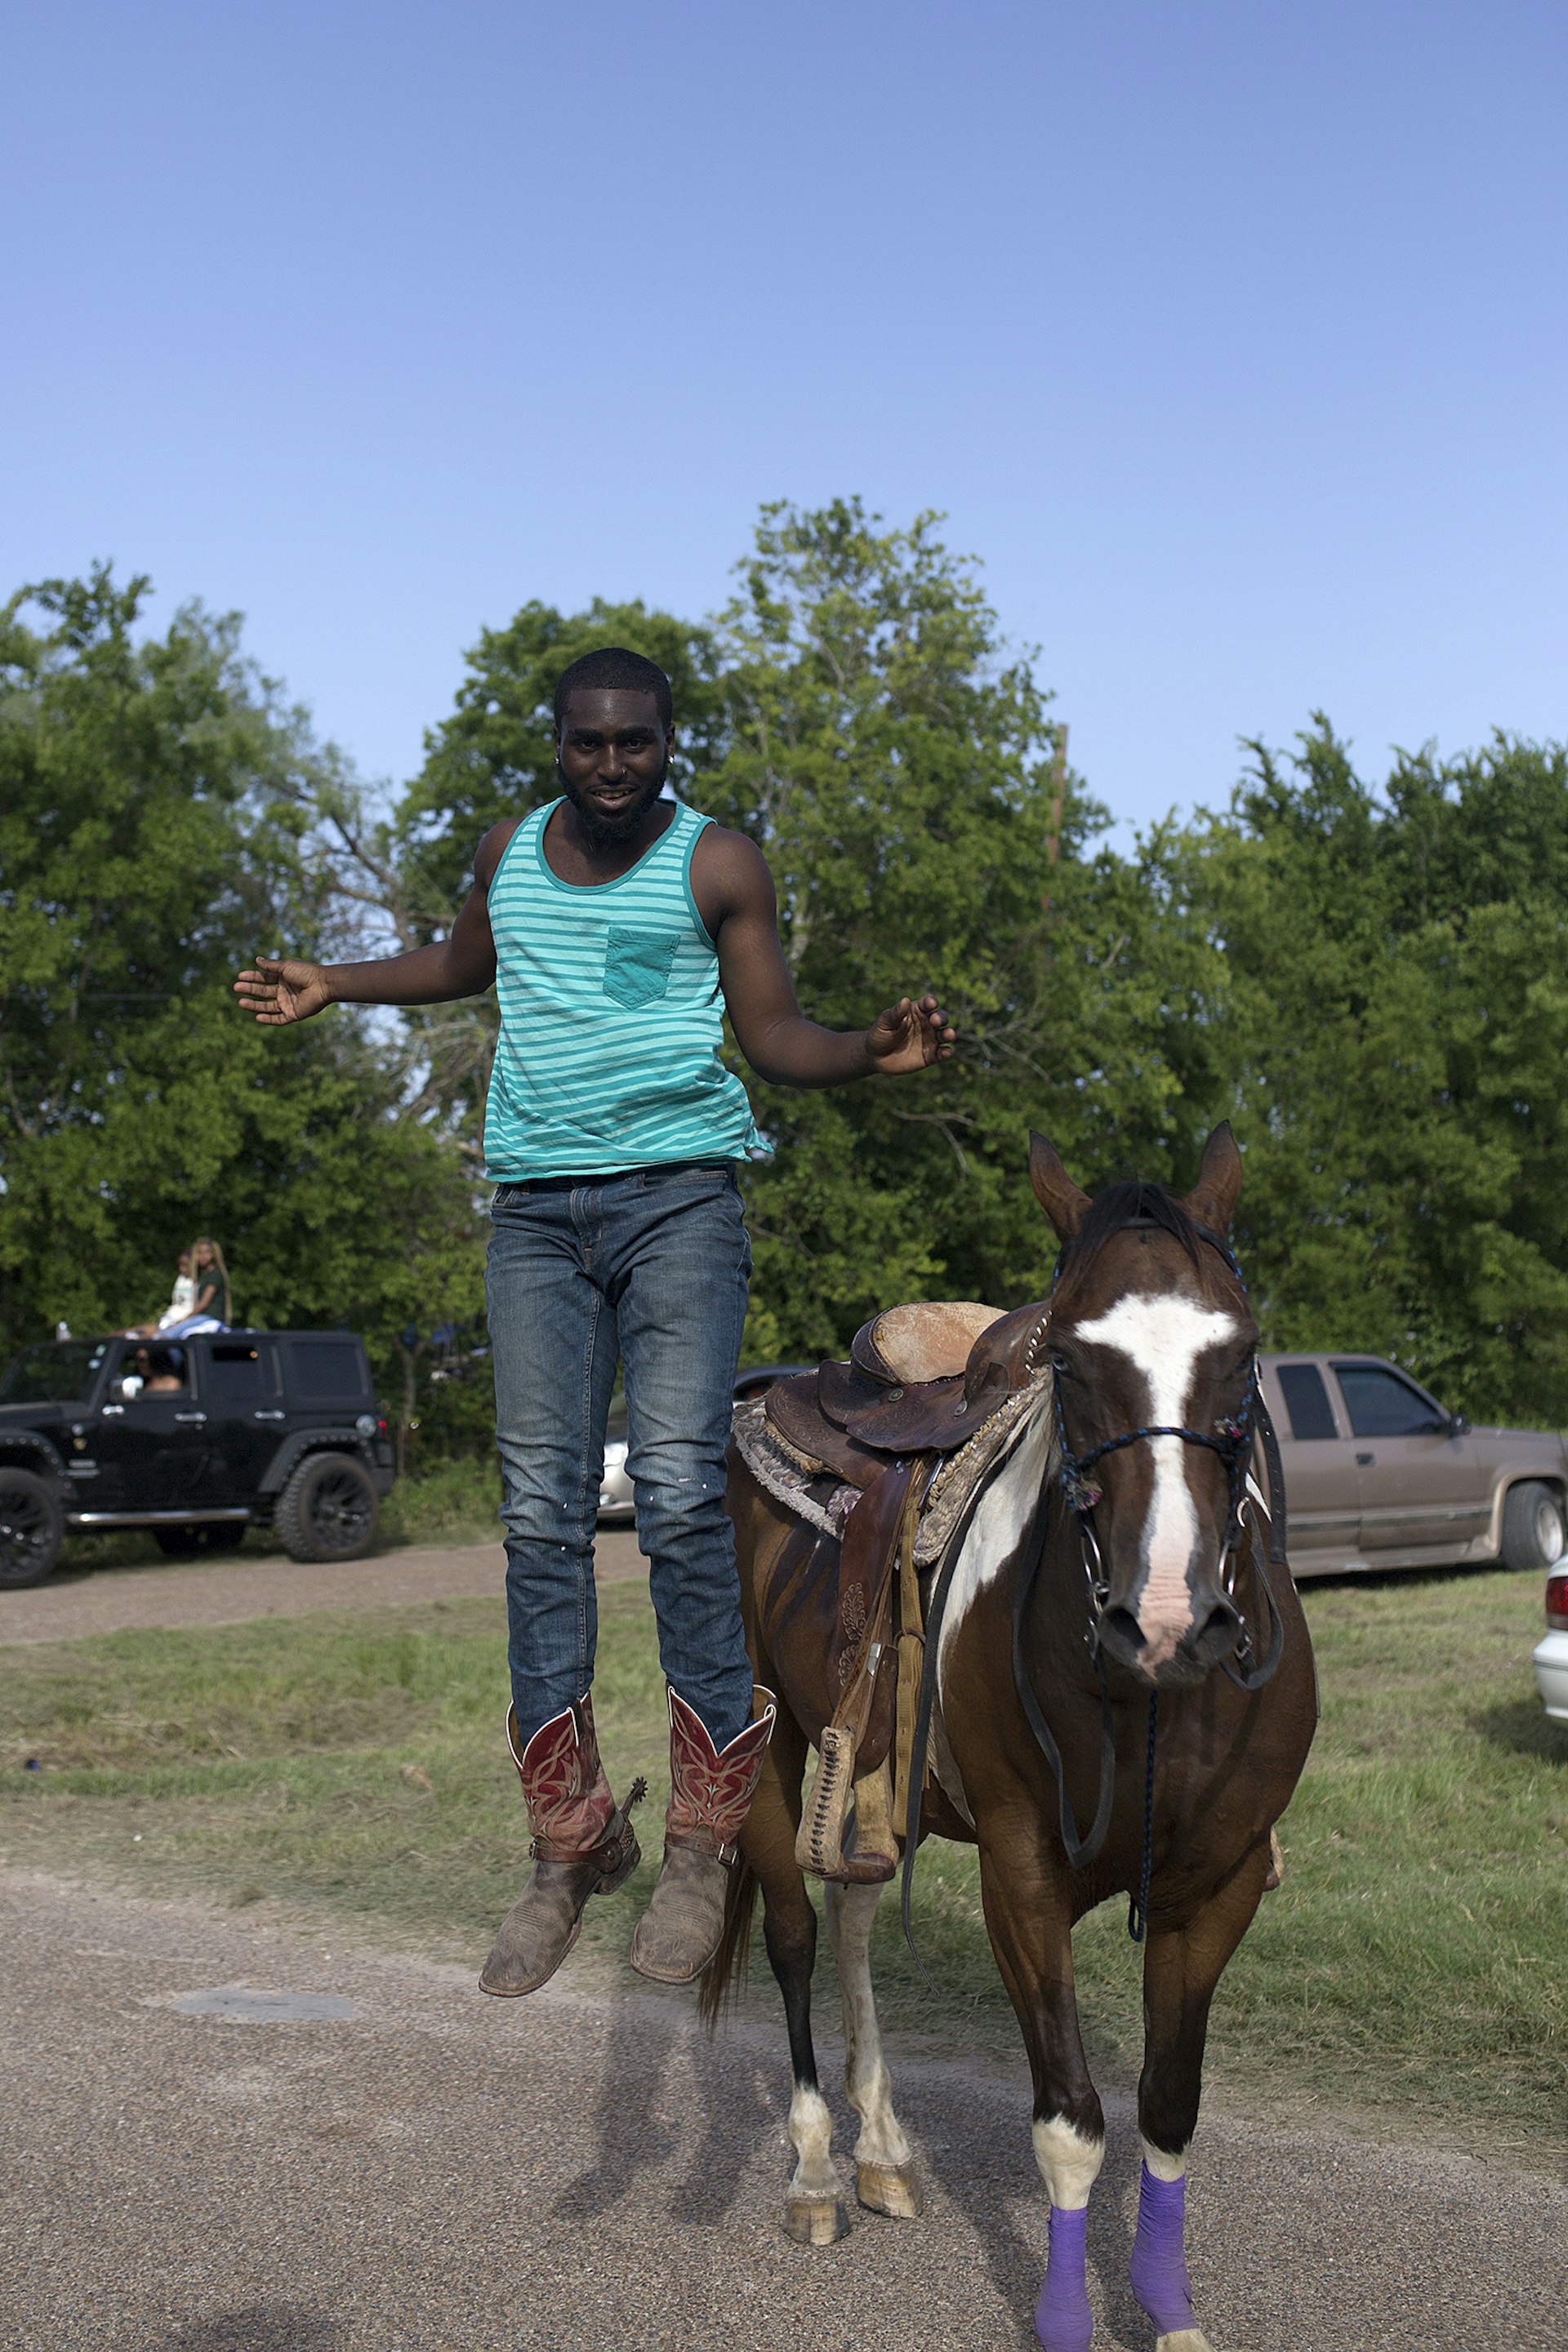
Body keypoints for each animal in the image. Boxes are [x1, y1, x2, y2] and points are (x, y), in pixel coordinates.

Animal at [705, 1129, 1316, 2342]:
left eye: (1243, 1352)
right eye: (1070, 1365)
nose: (1165, 1617)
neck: (1150, 1698)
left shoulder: (1219, 1884)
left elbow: (1167, 2109)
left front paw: (1167, 2309)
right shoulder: (1022, 1878)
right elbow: (1071, 2122)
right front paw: (1068, 2321)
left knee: (853, 1916)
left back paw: (884, 2153)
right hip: (768, 1737)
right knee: (796, 1935)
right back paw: (817, 2171)